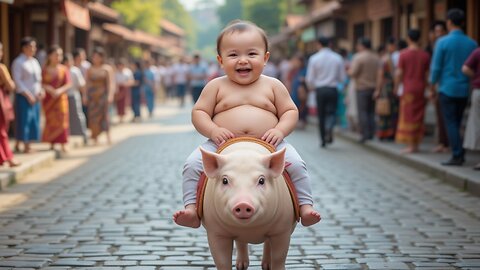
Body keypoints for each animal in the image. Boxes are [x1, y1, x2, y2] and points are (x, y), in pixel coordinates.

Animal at [199, 140, 296, 268]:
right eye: (225, 180)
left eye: (261, 180)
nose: (243, 204)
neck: (249, 229)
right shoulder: (215, 231)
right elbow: (221, 260)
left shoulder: (283, 229)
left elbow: (279, 257)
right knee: (241, 242)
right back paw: (241, 266)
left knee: (267, 243)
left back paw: (266, 266)